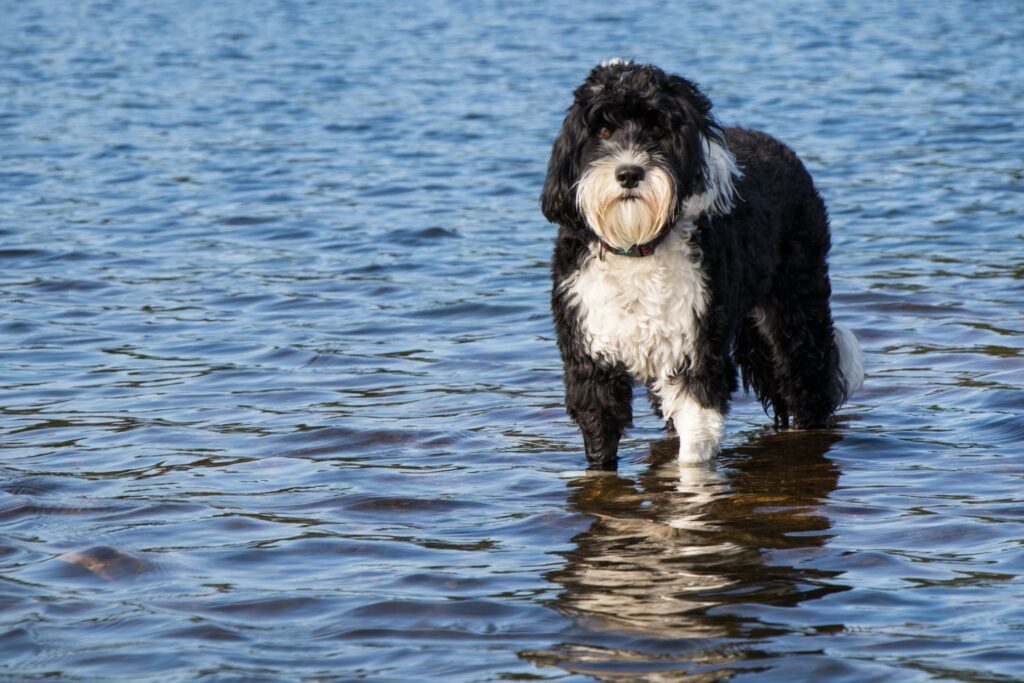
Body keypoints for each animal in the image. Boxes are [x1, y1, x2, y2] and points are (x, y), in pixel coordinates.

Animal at [540, 60, 860, 471]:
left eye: (657, 129)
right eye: (604, 131)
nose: (629, 173)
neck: (639, 245)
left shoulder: (696, 354)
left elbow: (693, 450)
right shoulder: (591, 362)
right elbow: (600, 441)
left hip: (795, 309)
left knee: (808, 380)